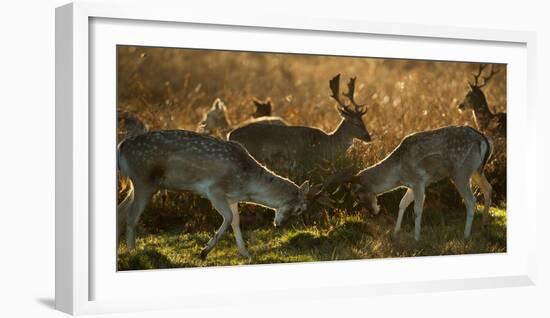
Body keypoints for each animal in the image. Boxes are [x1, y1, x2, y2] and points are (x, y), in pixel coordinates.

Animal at [116, 129, 332, 258]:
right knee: (132, 216)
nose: (279, 224)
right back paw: (133, 252)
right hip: (143, 179)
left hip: (138, 183)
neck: (246, 186)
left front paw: (245, 254)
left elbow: (236, 220)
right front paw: (204, 251)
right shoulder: (214, 190)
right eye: (299, 209)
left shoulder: (232, 197)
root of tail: (121, 147)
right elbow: (228, 218)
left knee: (121, 210)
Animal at [226, 73, 374, 175]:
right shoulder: (304, 163)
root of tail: (230, 135)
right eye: (355, 122)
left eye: (363, 121)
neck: (325, 145)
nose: (368, 137)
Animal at [338, 125, 494, 240]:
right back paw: (484, 225)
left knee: (471, 200)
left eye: (357, 196)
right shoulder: (414, 184)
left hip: (460, 172)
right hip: (476, 170)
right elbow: (402, 203)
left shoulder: (418, 181)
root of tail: (483, 139)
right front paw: (396, 232)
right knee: (488, 188)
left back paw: (466, 235)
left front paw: (416, 237)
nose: (373, 212)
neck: (398, 173)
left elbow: (417, 209)